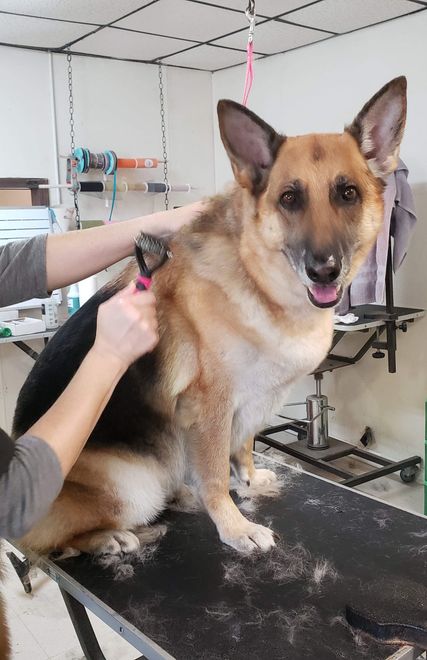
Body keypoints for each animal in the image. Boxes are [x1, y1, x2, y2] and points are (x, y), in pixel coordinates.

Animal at [13, 80, 408, 560]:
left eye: (347, 193)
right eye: (289, 198)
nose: (324, 271)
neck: (257, 279)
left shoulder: (248, 403)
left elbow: (244, 447)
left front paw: (250, 480)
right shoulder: (211, 407)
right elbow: (216, 474)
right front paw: (235, 527)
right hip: (131, 486)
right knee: (51, 543)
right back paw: (111, 537)